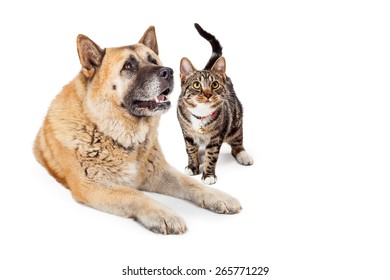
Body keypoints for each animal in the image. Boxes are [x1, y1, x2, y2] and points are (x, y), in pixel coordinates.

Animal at [32, 26, 241, 233]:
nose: (168, 72)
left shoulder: (158, 171)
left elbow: (190, 183)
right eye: (128, 66)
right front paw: (163, 214)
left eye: (153, 60)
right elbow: (134, 195)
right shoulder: (91, 185)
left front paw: (218, 196)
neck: (113, 133)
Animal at [177, 23, 253, 185]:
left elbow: (212, 155)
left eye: (215, 84)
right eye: (197, 84)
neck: (200, 115)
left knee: (237, 143)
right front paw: (193, 166)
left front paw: (208, 174)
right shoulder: (186, 132)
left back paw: (243, 154)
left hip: (236, 120)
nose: (207, 94)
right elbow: (190, 148)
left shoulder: (217, 136)